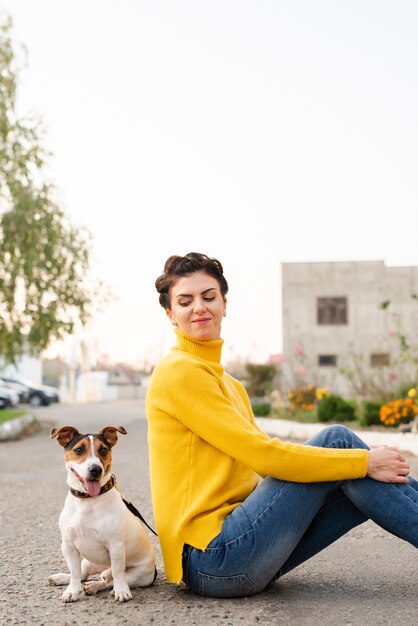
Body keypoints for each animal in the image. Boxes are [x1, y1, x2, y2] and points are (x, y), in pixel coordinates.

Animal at [48, 424, 157, 600]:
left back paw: (95, 586)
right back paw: (61, 578)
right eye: (79, 450)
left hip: (137, 575)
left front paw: (122, 591)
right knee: (83, 574)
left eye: (104, 450)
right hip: (87, 561)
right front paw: (72, 591)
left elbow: (118, 572)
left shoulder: (116, 545)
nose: (95, 469)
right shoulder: (68, 545)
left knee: (109, 580)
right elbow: (74, 572)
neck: (87, 500)